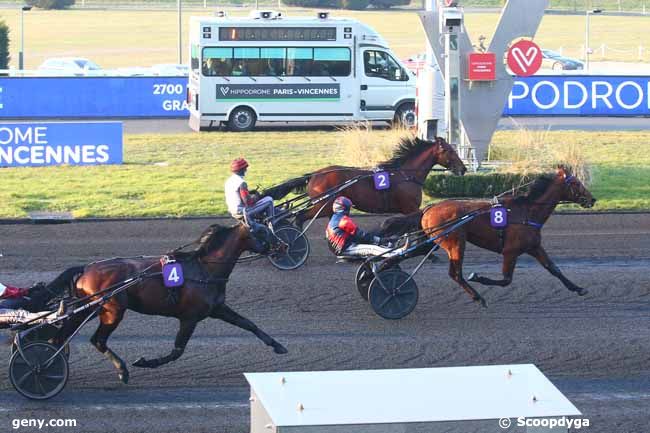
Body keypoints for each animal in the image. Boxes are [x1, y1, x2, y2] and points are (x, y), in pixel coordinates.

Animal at [54, 223, 288, 382]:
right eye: (262, 231)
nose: (284, 246)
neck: (205, 269)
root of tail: (86, 268)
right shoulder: (190, 317)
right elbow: (177, 351)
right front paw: (146, 362)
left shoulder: (218, 309)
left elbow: (248, 324)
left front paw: (278, 345)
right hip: (112, 310)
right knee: (97, 340)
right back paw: (121, 370)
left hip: (91, 309)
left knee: (66, 334)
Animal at [260, 137, 464, 226]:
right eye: (449, 151)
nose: (463, 168)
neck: (405, 175)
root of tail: (315, 175)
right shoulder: (410, 208)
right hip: (322, 206)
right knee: (300, 217)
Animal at [384, 166, 592, 308]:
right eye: (575, 183)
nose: (592, 199)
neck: (527, 212)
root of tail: (429, 207)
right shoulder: (510, 251)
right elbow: (506, 280)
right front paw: (478, 277)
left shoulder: (534, 247)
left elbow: (554, 269)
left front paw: (578, 288)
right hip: (455, 242)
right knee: (455, 274)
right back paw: (478, 296)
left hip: (433, 241)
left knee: (403, 255)